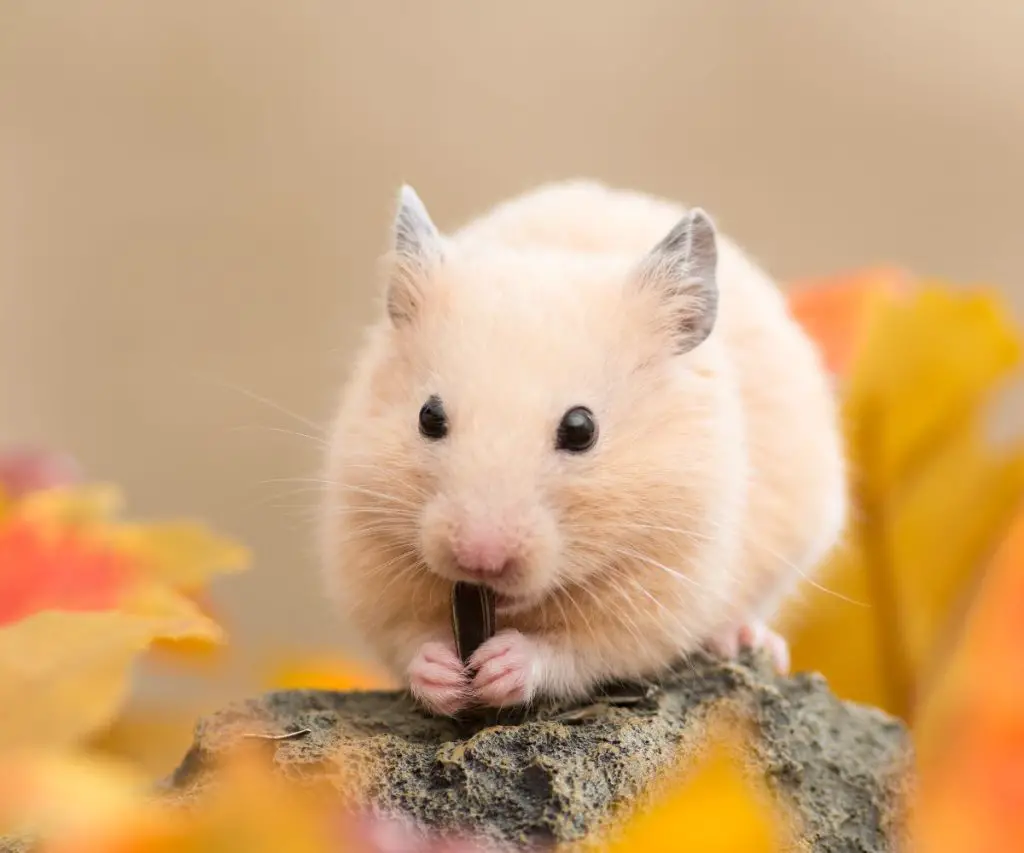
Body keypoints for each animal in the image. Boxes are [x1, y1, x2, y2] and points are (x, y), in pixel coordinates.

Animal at [321, 181, 847, 720]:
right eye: (428, 417)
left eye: (580, 429)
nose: (480, 562)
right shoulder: (366, 560)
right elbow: (408, 640)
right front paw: (444, 672)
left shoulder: (659, 597)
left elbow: (574, 652)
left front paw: (501, 666)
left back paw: (741, 638)